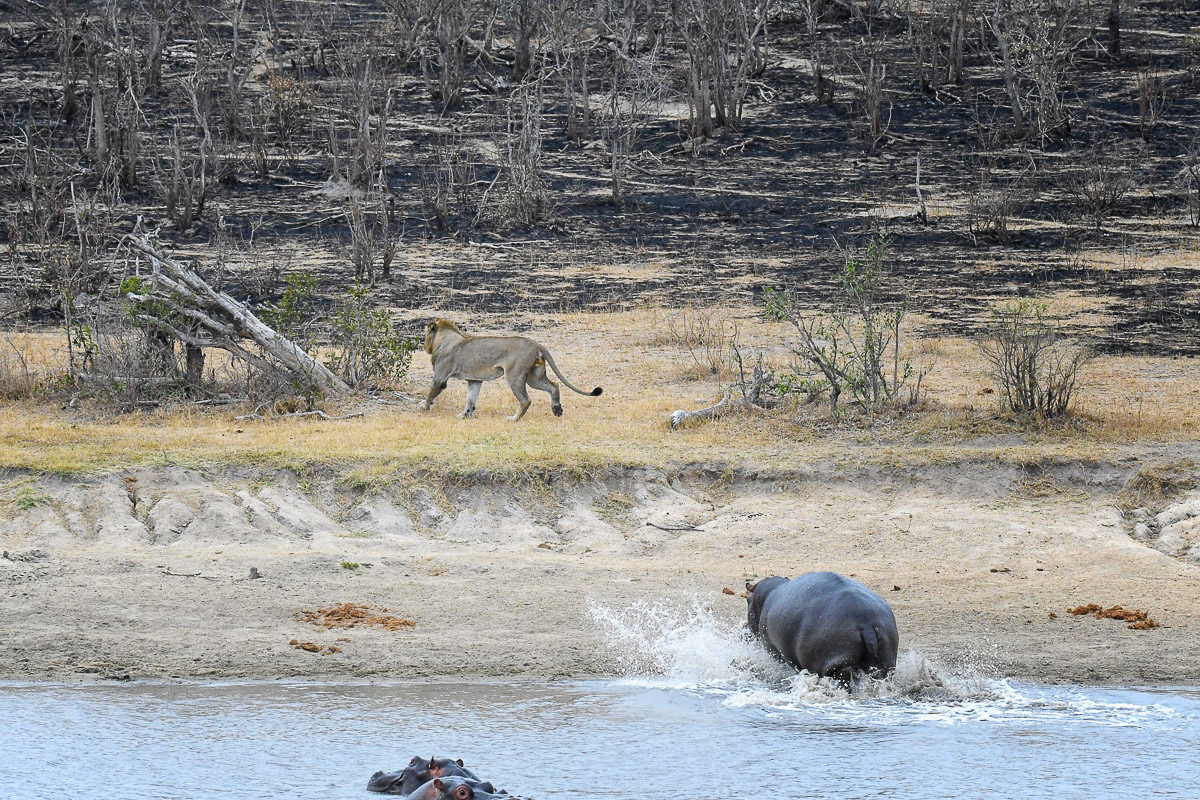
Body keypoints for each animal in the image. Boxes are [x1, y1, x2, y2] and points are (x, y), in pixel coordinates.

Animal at [422, 319, 603, 422]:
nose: (424, 345)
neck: (446, 338)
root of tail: (536, 344)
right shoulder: (475, 380)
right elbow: (471, 400)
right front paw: (465, 415)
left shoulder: (440, 378)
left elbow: (430, 394)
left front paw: (424, 408)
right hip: (535, 378)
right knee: (554, 386)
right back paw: (557, 409)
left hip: (514, 376)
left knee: (526, 400)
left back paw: (514, 418)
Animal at [746, 571, 899, 684]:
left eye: (747, 600)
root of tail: (866, 623)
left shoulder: (771, 649)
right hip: (886, 661)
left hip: (836, 660)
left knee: (843, 674)